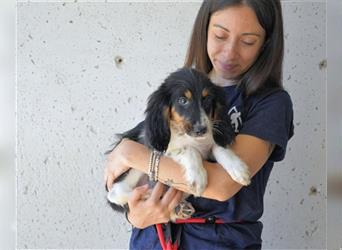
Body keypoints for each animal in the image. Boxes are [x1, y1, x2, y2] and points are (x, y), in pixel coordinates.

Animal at [107, 67, 251, 220]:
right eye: (183, 100)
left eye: (207, 99)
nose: (202, 130)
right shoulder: (162, 149)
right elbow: (190, 150)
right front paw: (198, 177)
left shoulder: (209, 143)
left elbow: (219, 148)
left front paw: (239, 169)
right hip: (131, 170)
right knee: (117, 193)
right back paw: (149, 195)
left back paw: (179, 209)